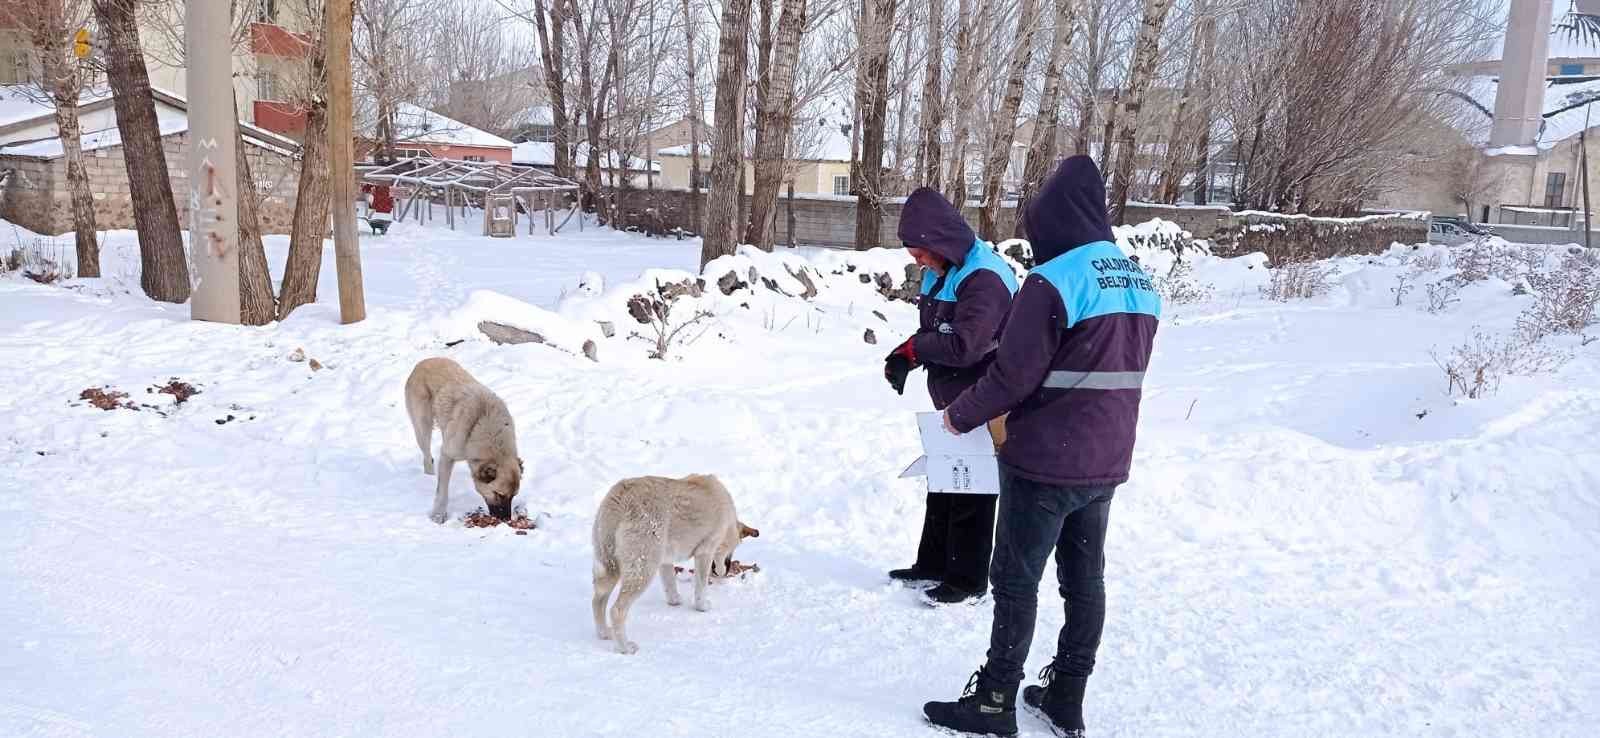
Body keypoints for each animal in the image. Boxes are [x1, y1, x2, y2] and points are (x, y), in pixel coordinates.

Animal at [403, 356, 521, 525]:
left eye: (513, 496)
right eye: (499, 494)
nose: (506, 520)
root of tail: (422, 362)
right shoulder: (447, 456)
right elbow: (442, 491)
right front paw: (438, 515)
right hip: (422, 428)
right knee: (427, 457)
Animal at [592, 473, 758, 653]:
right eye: (734, 549)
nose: (727, 570)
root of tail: (620, 499)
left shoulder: (665, 561)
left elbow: (670, 583)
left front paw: (675, 601)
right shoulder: (705, 552)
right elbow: (701, 586)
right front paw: (702, 606)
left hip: (610, 568)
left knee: (597, 601)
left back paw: (604, 633)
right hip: (643, 569)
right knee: (616, 611)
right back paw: (625, 647)